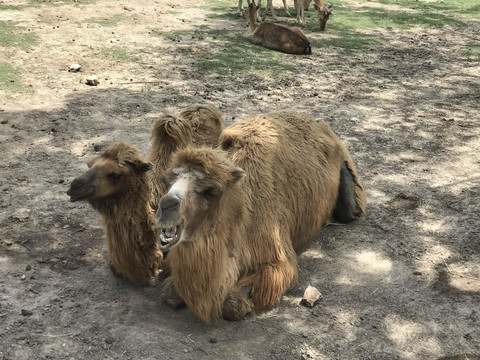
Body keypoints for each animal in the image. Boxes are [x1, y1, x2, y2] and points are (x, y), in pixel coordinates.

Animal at [156, 110, 366, 324]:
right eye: (169, 180)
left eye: (211, 191)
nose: (165, 206)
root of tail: (323, 127)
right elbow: (169, 292)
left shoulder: (276, 255)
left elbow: (234, 304)